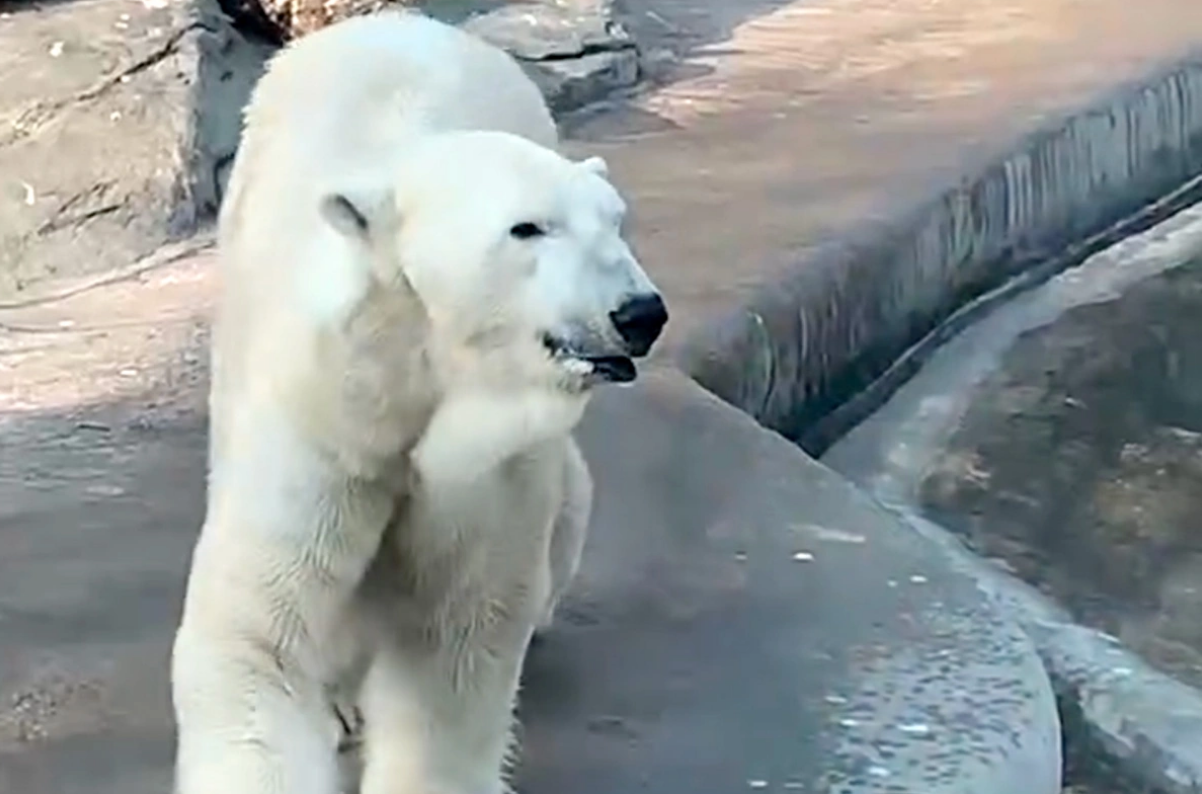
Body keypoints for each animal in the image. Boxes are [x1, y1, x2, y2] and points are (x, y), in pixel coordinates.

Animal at [170, 10, 667, 794]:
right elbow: (262, 635)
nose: (640, 312)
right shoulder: (321, 422)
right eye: (528, 227)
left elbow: (452, 645)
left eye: (615, 221)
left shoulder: (491, 468)